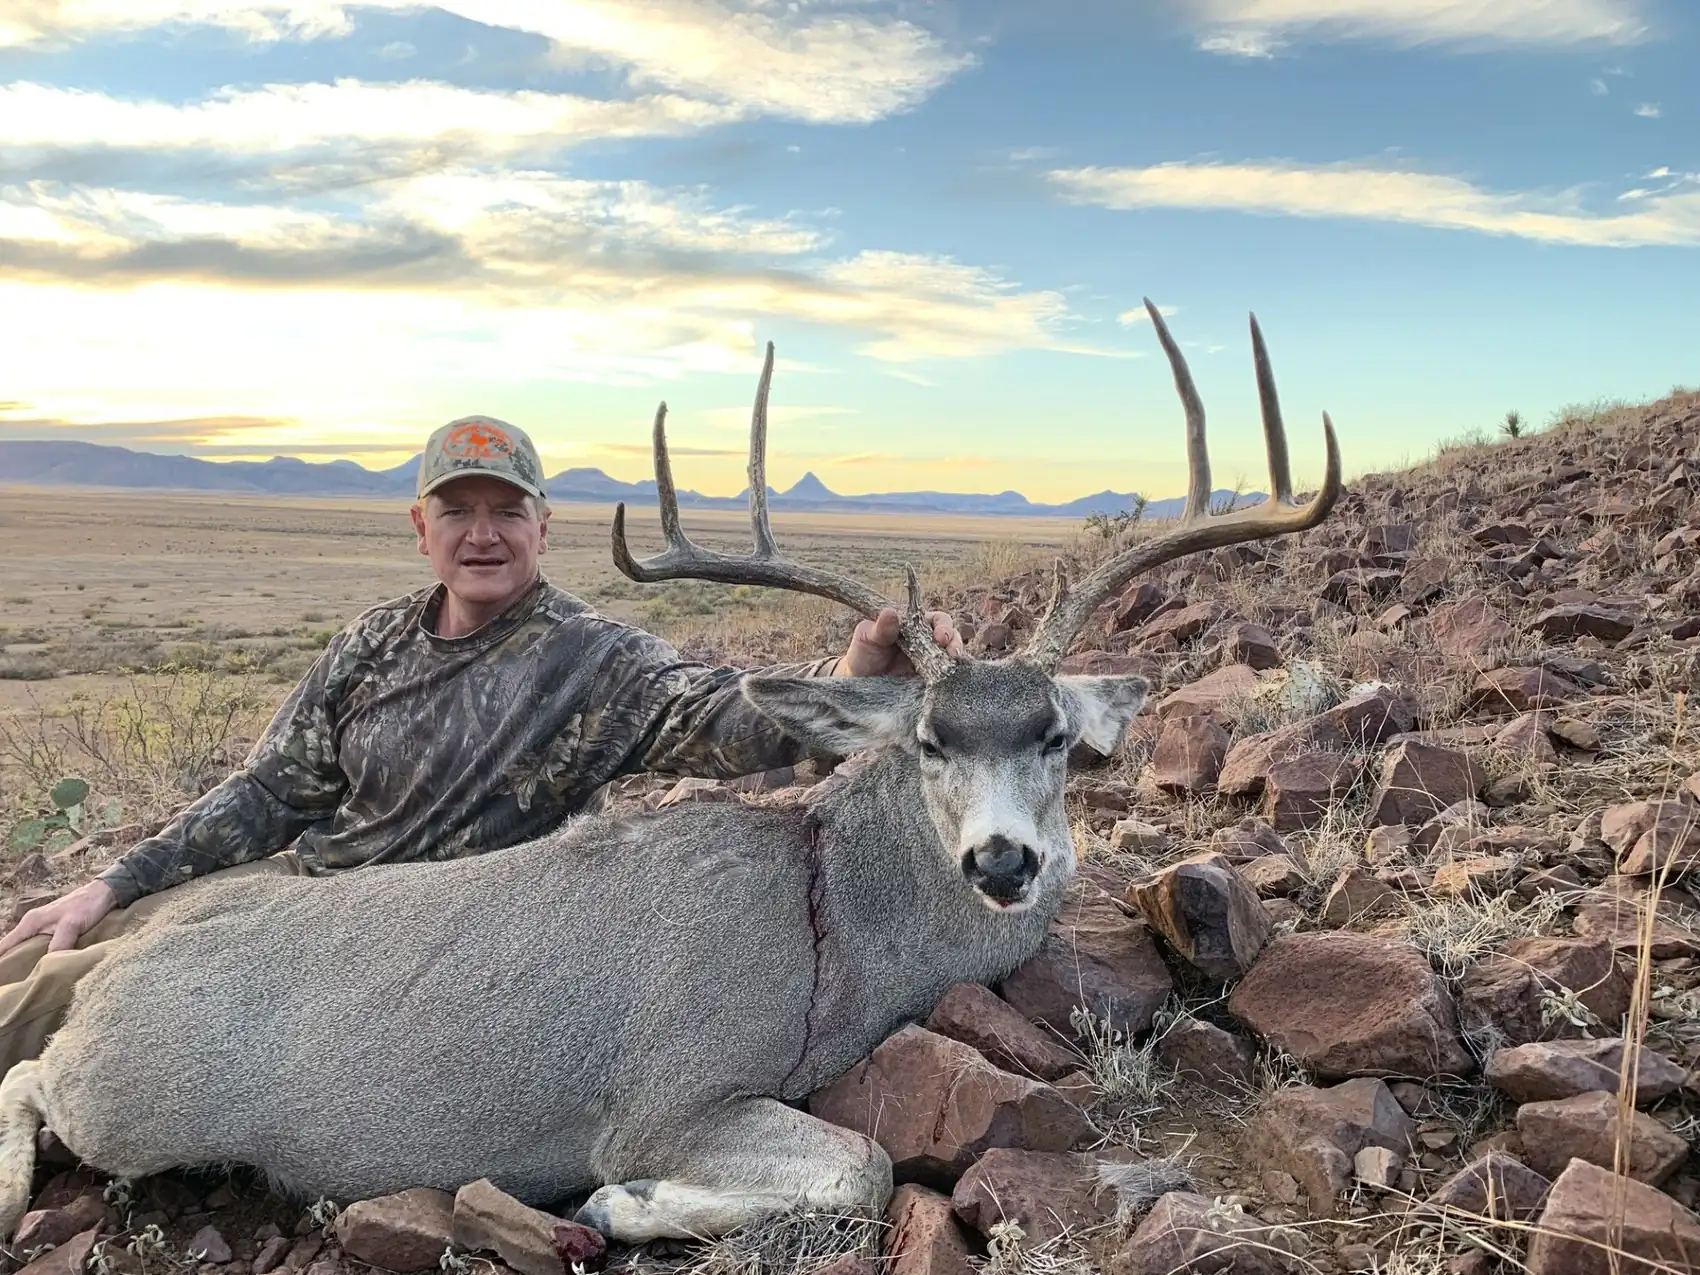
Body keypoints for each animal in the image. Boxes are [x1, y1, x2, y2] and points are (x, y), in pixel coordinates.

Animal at [0, 301, 1340, 1246]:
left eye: (1054, 735)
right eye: (927, 740)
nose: (1004, 860)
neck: (827, 917)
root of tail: (112, 955)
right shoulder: (669, 1089)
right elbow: (855, 1167)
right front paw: (616, 1208)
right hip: (134, 1094)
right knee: (27, 1076)